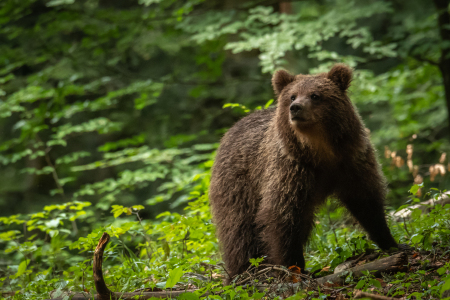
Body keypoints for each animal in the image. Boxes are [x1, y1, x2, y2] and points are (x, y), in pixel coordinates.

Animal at [209, 63, 400, 282]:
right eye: (292, 96)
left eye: (315, 95)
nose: (295, 108)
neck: (321, 151)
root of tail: (231, 129)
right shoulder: (292, 169)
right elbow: (282, 215)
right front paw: (293, 268)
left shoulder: (352, 161)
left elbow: (367, 201)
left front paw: (391, 242)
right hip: (238, 183)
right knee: (239, 229)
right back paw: (243, 271)